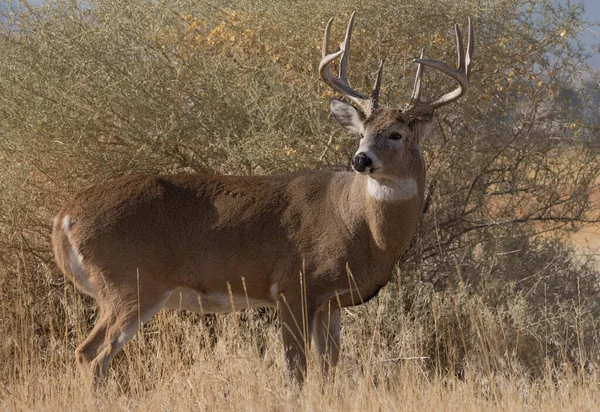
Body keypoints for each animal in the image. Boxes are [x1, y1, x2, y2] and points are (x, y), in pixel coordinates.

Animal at [52, 13, 474, 386]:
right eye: (362, 132)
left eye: (397, 134)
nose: (360, 159)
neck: (360, 227)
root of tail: (65, 216)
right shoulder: (293, 287)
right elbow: (296, 373)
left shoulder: (331, 302)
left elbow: (329, 371)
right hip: (131, 283)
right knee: (90, 354)